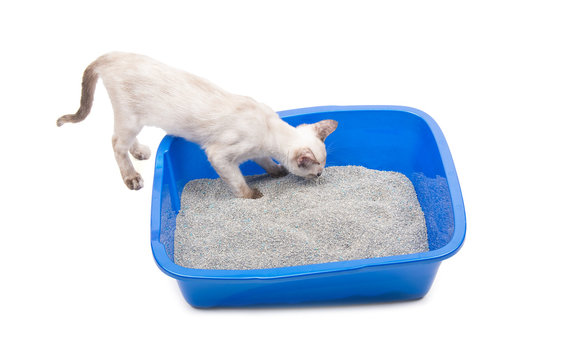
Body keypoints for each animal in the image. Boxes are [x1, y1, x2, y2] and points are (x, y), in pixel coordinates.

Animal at [57, 52, 338, 200]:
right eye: (316, 171)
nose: (321, 175)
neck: (269, 130)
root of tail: (111, 55)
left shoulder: (257, 153)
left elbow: (268, 163)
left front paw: (278, 172)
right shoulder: (220, 156)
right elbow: (239, 183)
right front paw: (253, 195)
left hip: (135, 121)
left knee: (123, 142)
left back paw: (141, 152)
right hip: (131, 119)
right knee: (116, 143)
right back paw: (132, 178)